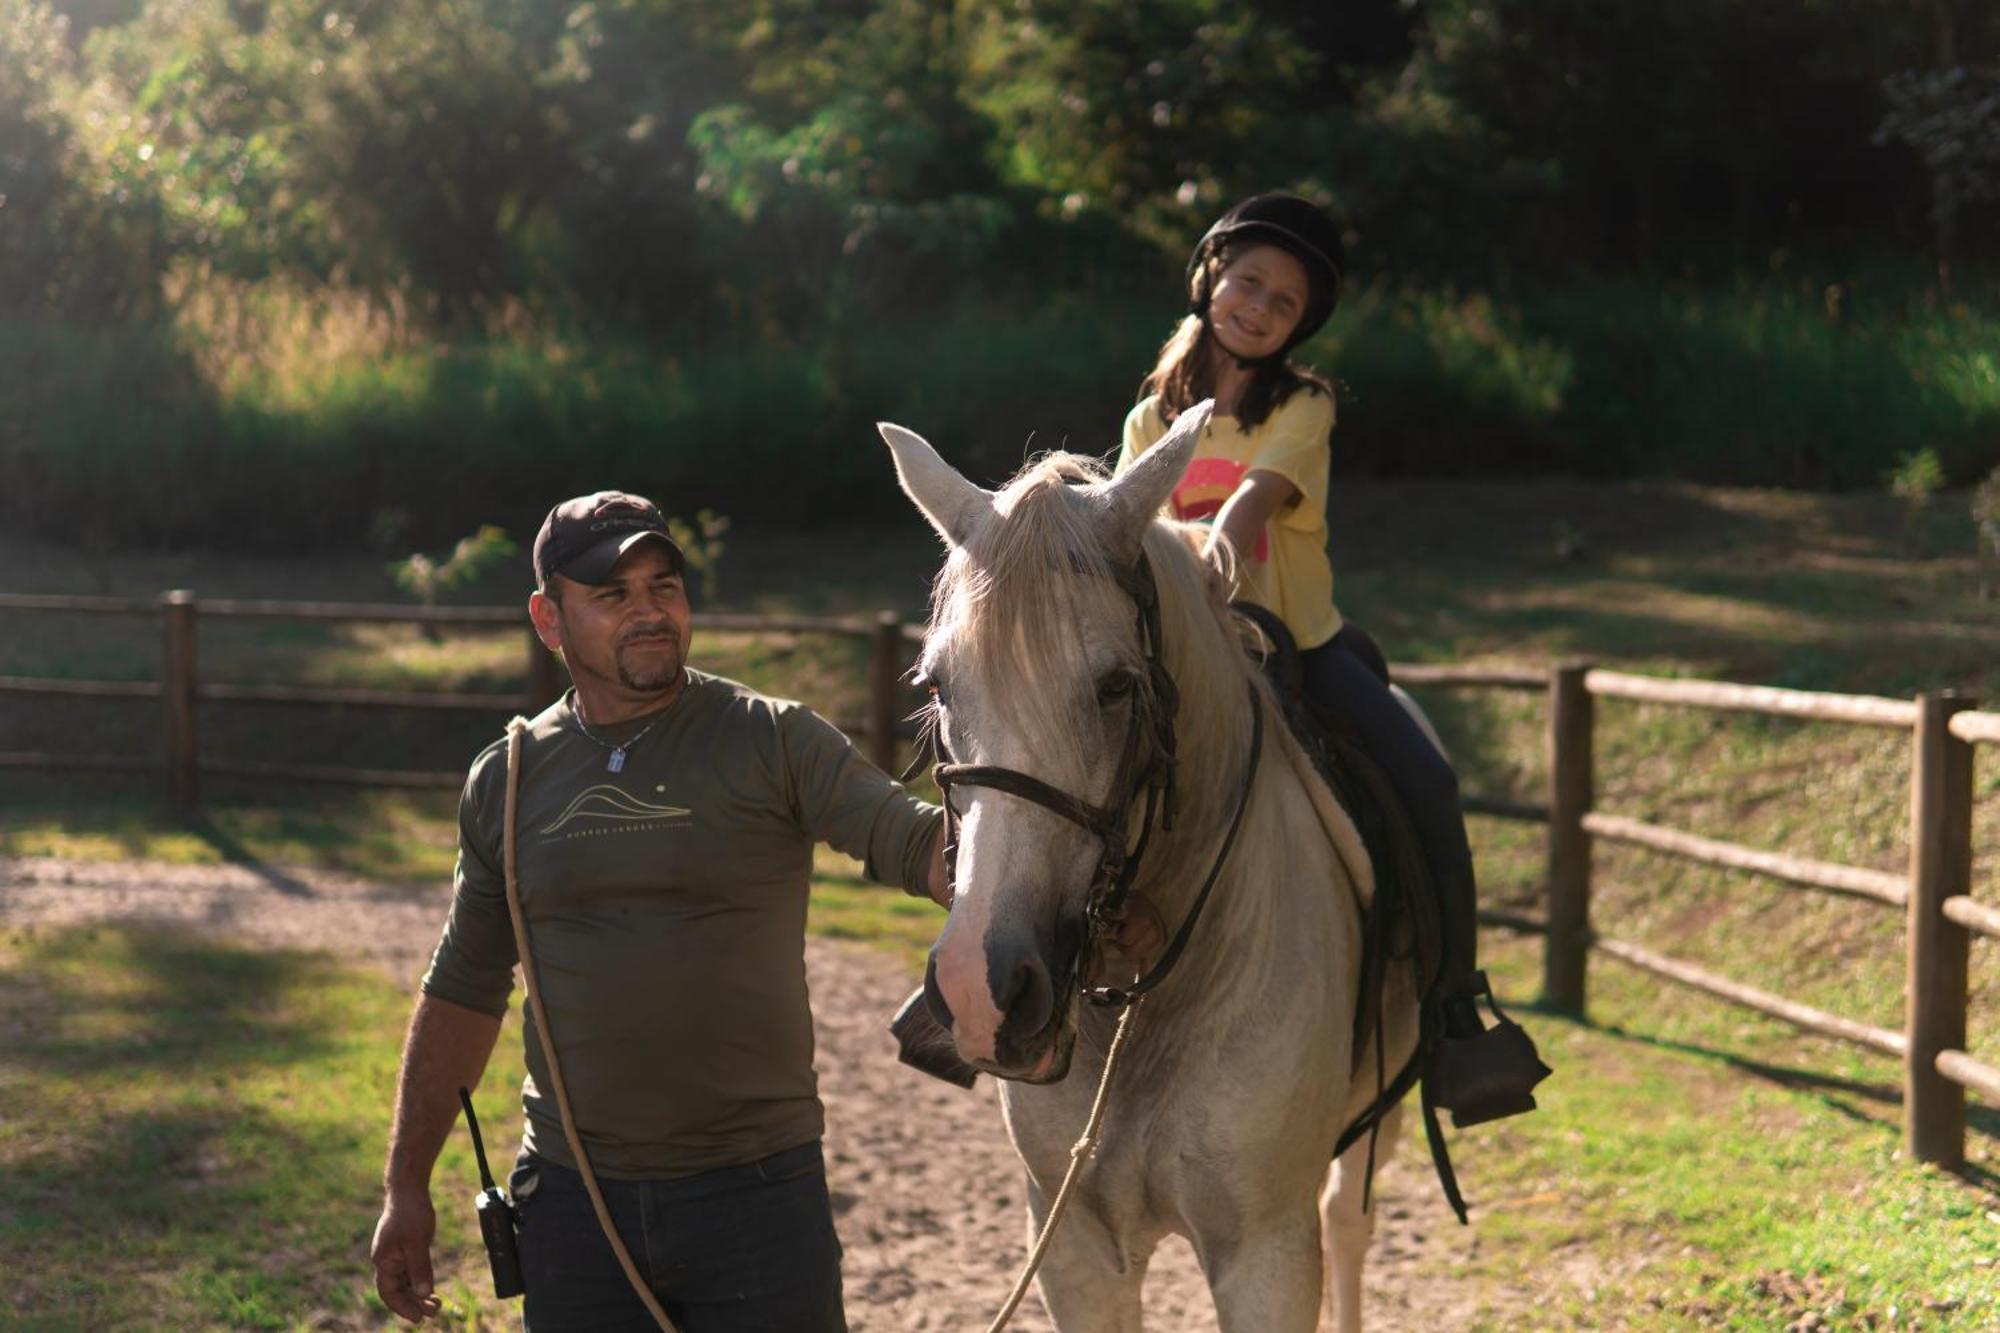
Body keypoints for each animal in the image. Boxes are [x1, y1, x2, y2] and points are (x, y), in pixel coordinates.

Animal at [880, 408, 1424, 1328]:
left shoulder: (1267, 1256)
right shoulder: (1073, 1243)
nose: (981, 989)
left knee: (1350, 1222)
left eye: (1114, 685)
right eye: (938, 685)